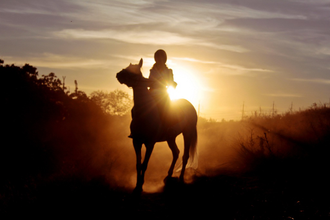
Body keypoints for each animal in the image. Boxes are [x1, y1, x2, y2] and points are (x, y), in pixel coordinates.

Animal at [116, 58, 197, 192]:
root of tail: (190, 105)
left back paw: (180, 179)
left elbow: (145, 164)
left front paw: (141, 185)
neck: (144, 113)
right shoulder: (136, 142)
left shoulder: (150, 143)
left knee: (185, 156)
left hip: (188, 133)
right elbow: (138, 164)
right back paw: (168, 175)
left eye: (134, 72)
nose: (118, 75)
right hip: (171, 138)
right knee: (176, 152)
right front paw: (137, 185)